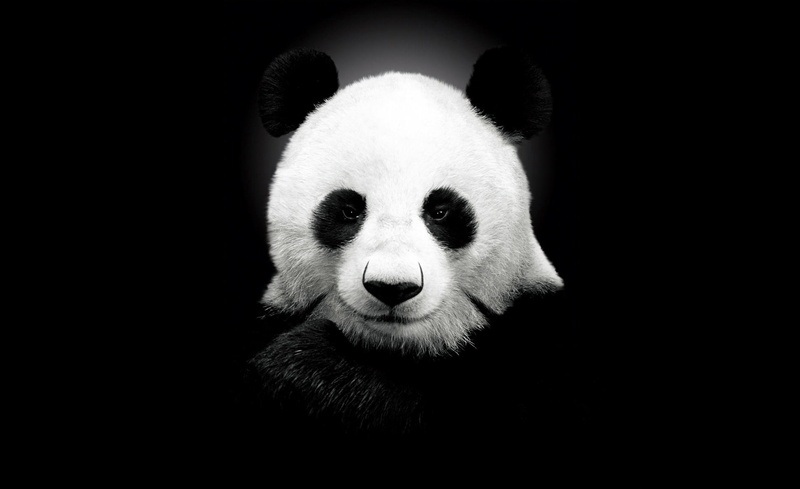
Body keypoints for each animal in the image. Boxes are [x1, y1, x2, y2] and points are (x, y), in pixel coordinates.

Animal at [236, 47, 592, 450]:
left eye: (440, 211)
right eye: (349, 210)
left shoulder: (541, 342)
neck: (400, 349)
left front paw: (305, 366)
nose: (393, 288)